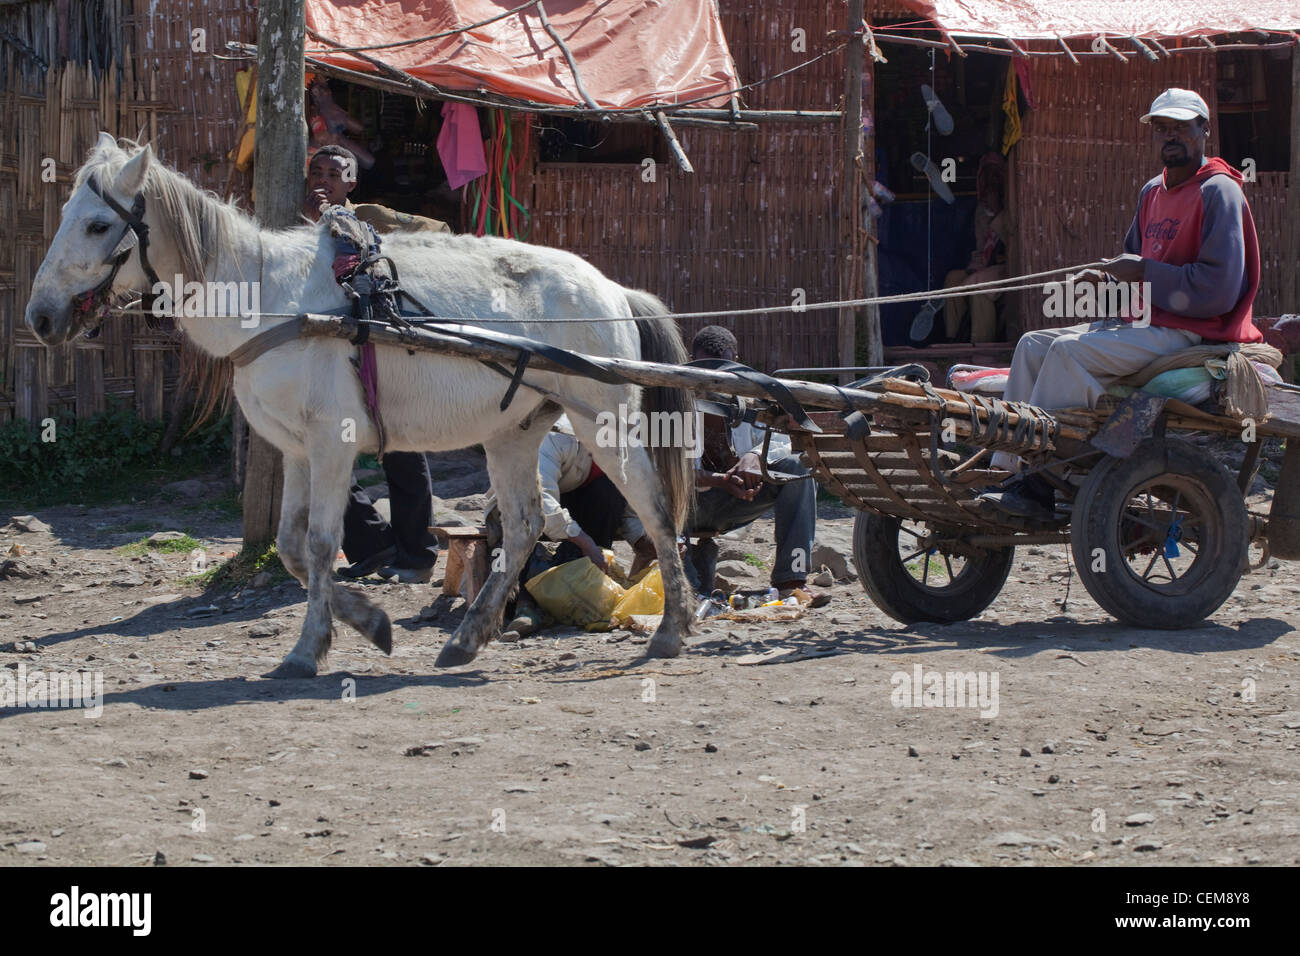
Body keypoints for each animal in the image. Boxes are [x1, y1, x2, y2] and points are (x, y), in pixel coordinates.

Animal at [25, 133, 696, 677]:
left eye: (96, 226)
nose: (40, 317)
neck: (269, 296)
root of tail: (613, 289)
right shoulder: (295, 450)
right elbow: (293, 548)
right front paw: (370, 623)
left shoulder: (332, 444)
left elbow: (323, 545)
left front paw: (306, 651)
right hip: (514, 432)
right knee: (527, 523)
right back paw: (467, 640)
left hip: (602, 419)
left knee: (655, 508)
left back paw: (670, 630)